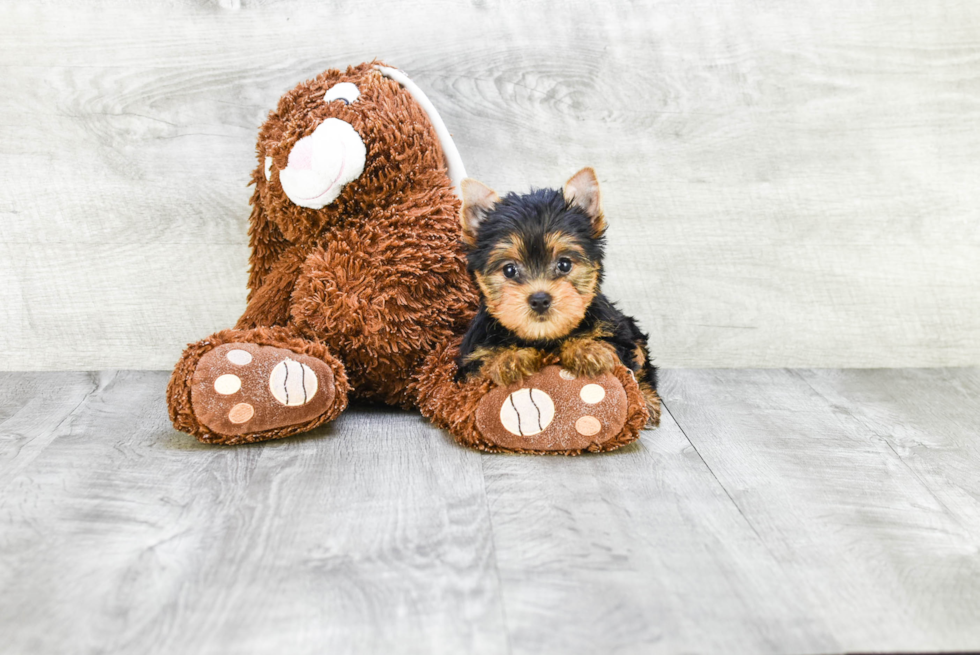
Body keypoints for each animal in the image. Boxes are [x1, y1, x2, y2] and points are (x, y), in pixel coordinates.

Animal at [458, 164, 660, 420]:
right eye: (509, 270)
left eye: (564, 264)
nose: (539, 299)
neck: (544, 338)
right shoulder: (469, 360)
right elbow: (482, 363)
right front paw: (510, 358)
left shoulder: (619, 334)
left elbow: (614, 349)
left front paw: (585, 349)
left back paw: (647, 401)